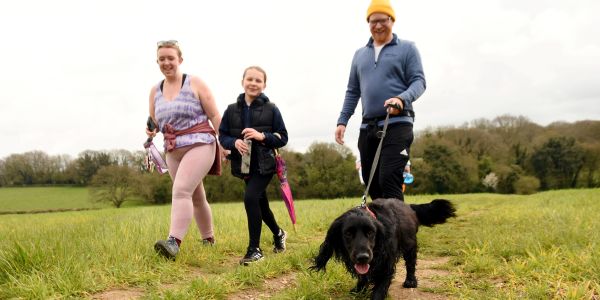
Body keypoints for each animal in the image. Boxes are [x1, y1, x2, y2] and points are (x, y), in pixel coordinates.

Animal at [312, 198, 458, 298]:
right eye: (348, 233)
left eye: (371, 232)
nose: (363, 257)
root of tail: (408, 205)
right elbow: (363, 276)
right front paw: (359, 290)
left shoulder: (386, 264)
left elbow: (379, 289)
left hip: (409, 244)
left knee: (411, 263)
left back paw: (410, 281)